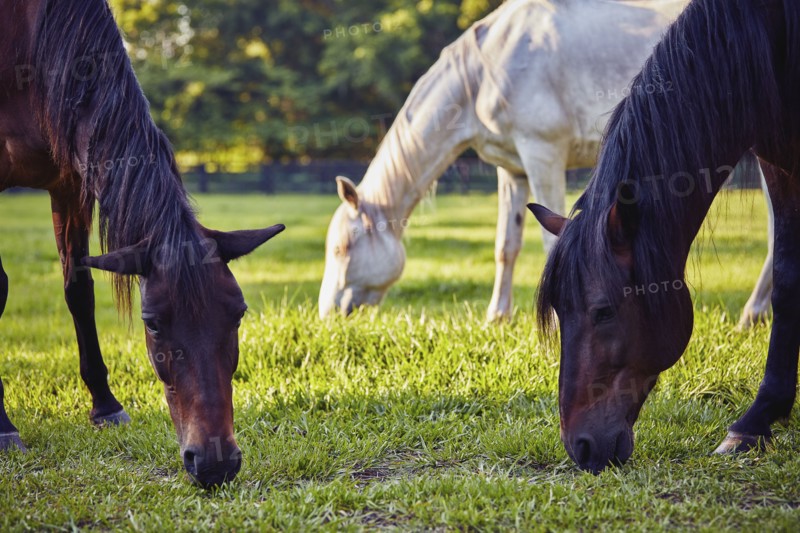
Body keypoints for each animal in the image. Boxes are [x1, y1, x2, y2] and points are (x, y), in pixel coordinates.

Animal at [0, 0, 284, 487]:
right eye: (151, 324)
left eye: (239, 314)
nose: (215, 462)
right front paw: (3, 427)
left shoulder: (70, 181)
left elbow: (79, 289)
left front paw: (105, 405)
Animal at [319, 0, 775, 324]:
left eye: (343, 247)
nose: (327, 313)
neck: (483, 71)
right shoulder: (513, 169)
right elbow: (507, 244)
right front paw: (496, 317)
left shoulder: (543, 154)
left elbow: (550, 240)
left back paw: (752, 314)